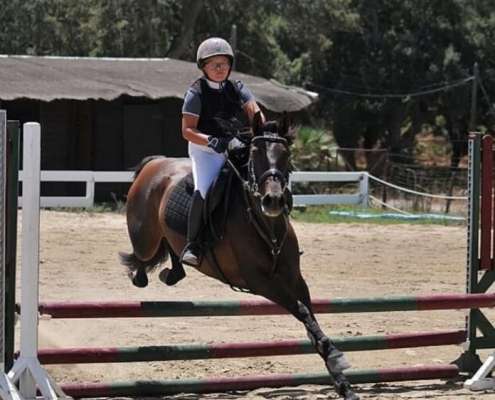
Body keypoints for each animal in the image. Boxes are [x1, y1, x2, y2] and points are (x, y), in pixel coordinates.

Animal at [120, 112, 360, 400]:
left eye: (286, 154)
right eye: (255, 153)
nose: (273, 201)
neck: (267, 225)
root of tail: (155, 163)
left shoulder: (295, 278)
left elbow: (310, 319)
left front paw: (342, 381)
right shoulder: (260, 282)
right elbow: (301, 310)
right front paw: (337, 358)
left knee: (171, 252)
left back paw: (173, 272)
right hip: (145, 238)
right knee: (141, 257)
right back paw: (142, 276)